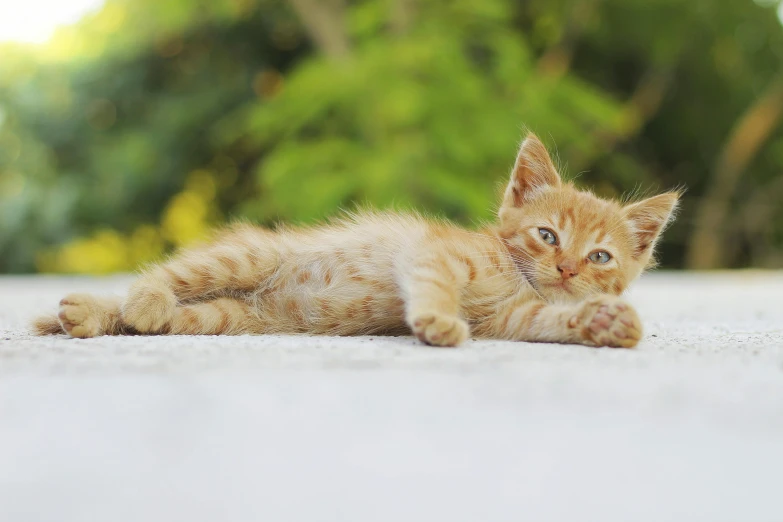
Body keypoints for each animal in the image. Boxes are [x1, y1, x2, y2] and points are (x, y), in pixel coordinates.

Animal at [32, 132, 680, 348]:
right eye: (547, 236)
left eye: (599, 257)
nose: (568, 270)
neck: (514, 275)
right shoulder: (434, 254)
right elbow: (433, 284)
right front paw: (438, 320)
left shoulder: (512, 319)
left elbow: (547, 322)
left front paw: (601, 322)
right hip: (247, 255)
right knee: (162, 280)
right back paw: (129, 302)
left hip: (224, 318)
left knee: (164, 318)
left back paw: (86, 316)